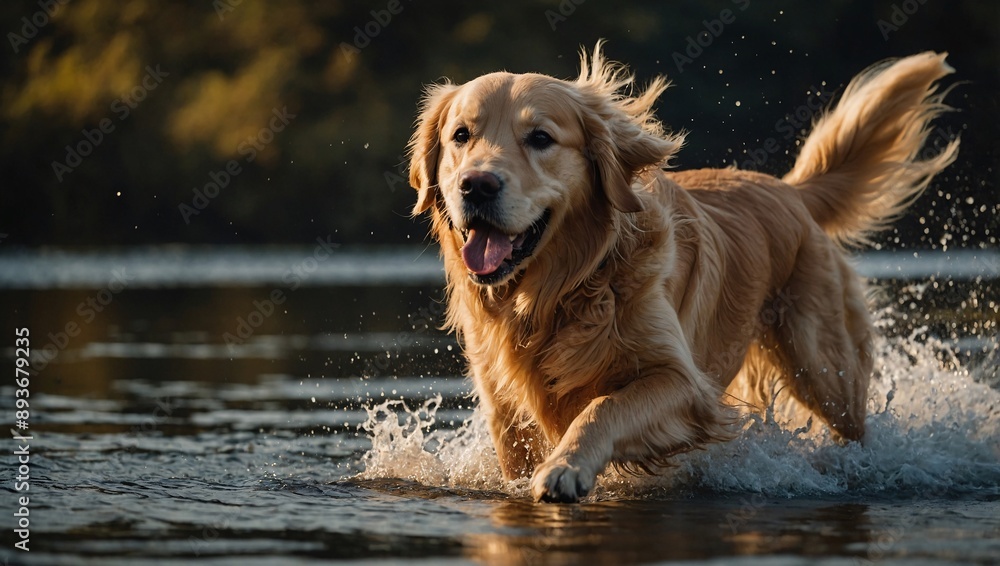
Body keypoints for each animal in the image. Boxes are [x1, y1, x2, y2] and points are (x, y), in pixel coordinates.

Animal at [406, 45, 960, 506]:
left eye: (540, 138)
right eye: (461, 136)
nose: (476, 185)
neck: (560, 292)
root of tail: (790, 189)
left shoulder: (683, 383)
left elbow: (603, 407)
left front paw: (565, 467)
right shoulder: (503, 404)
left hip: (824, 369)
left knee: (851, 424)